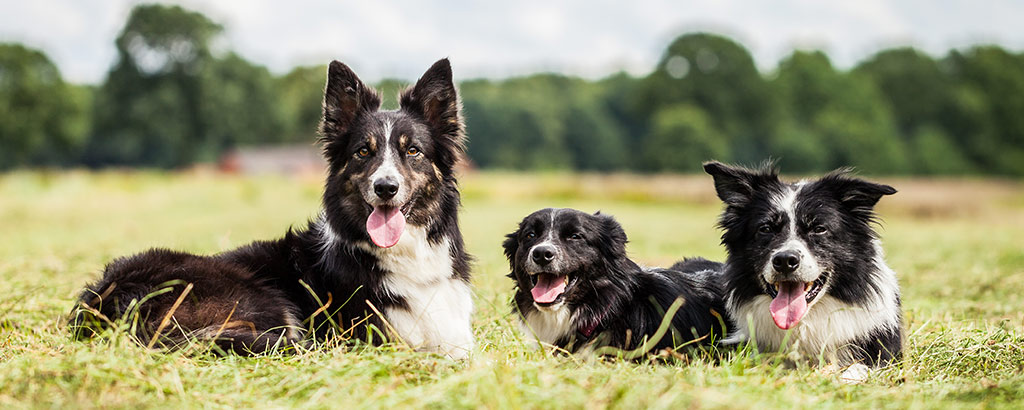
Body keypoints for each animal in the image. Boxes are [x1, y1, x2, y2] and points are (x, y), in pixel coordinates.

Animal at [72, 58, 475, 358]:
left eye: (413, 151)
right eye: (364, 151)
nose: (386, 188)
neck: (405, 257)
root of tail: (105, 297)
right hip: (264, 300)